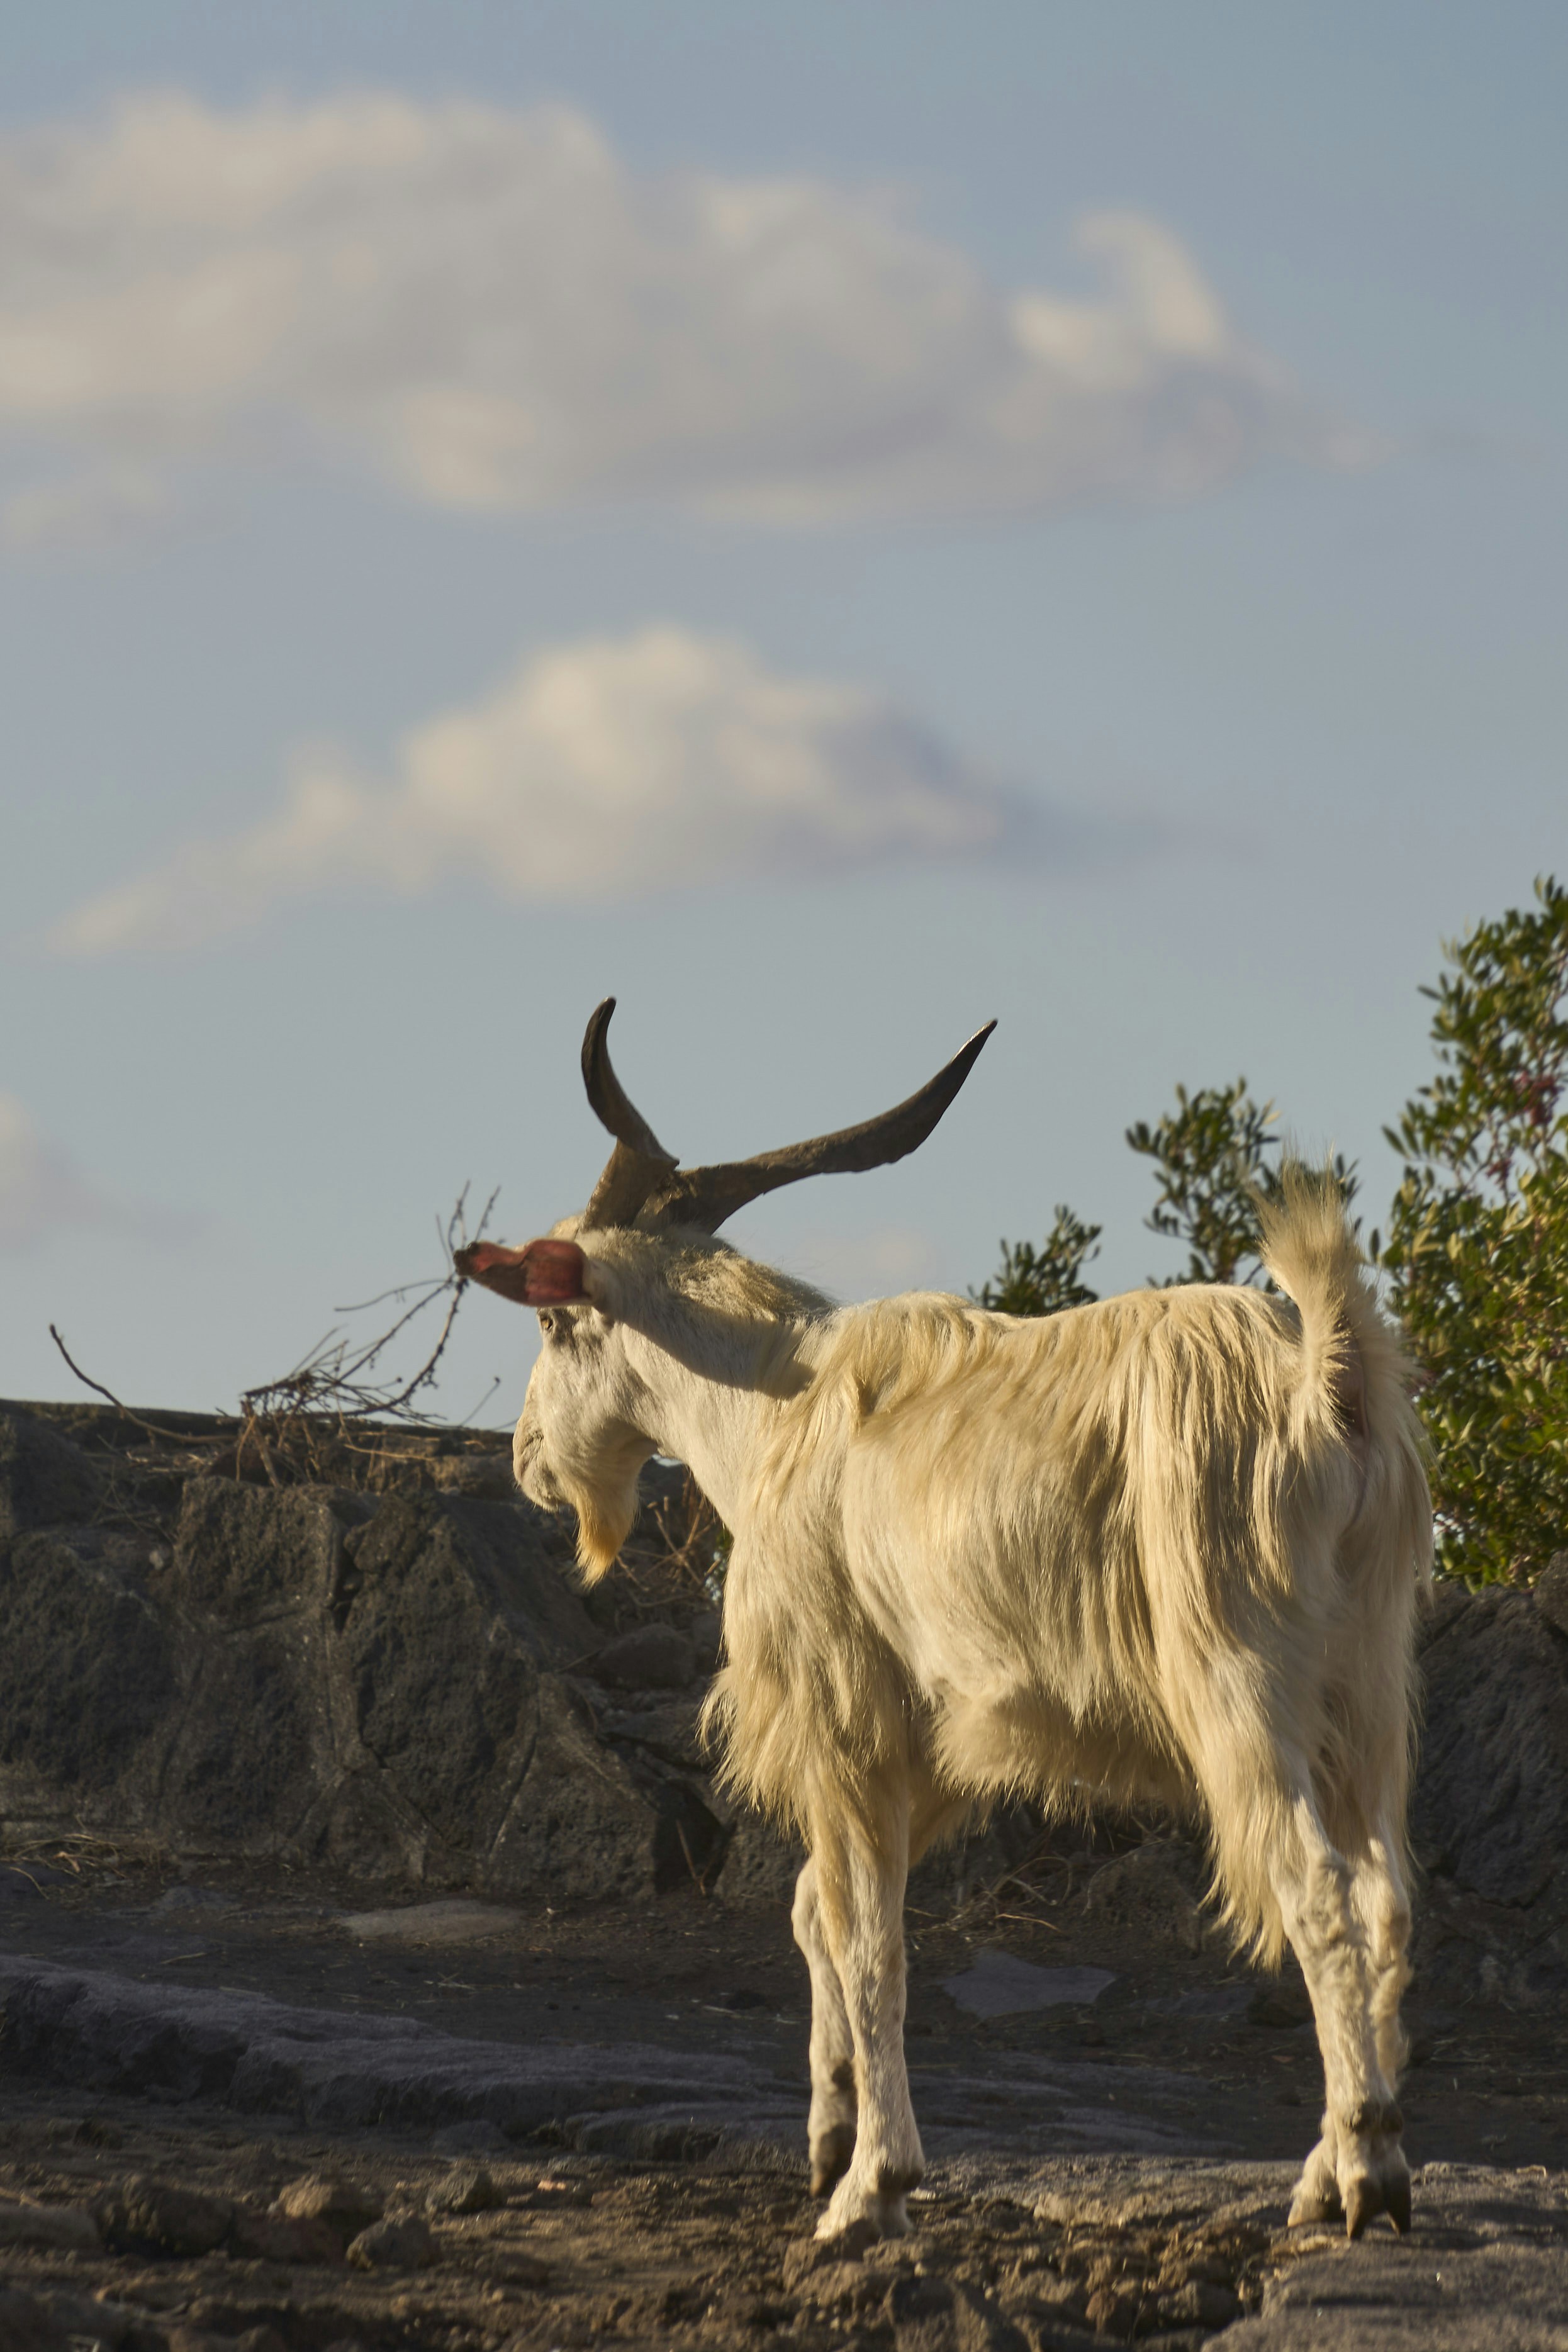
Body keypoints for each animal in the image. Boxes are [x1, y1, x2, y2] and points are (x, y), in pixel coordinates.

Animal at [458, 1002, 1431, 2244]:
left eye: (558, 1323)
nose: (528, 1459)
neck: (776, 1406)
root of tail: (1327, 1386)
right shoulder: (948, 1737)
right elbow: (816, 1904)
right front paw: (830, 2136)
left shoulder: (845, 1705)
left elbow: (869, 1934)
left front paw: (871, 2187)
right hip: (1364, 1691)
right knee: (1387, 1900)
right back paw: (1333, 2167)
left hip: (1240, 1679)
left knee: (1316, 1890)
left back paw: (1364, 2173)